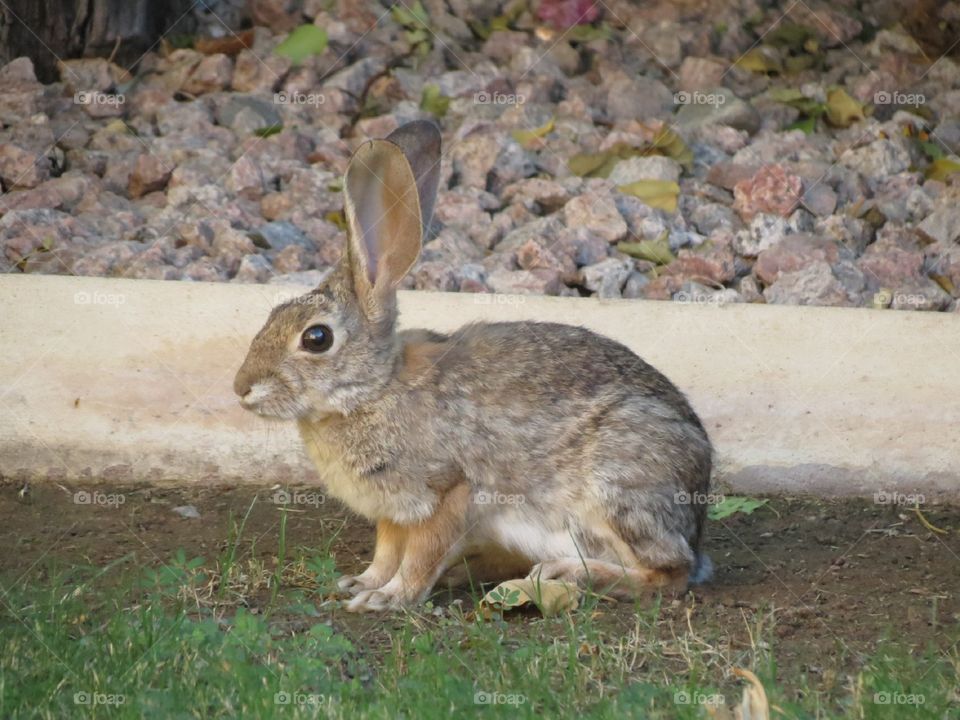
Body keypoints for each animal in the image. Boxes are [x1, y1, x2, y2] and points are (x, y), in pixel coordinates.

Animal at [232, 121, 712, 612]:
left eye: (317, 338)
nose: (241, 387)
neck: (375, 389)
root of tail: (698, 515)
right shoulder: (395, 513)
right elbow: (386, 552)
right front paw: (362, 584)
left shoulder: (451, 491)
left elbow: (420, 555)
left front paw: (389, 598)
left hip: (616, 488)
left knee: (668, 574)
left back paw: (568, 573)